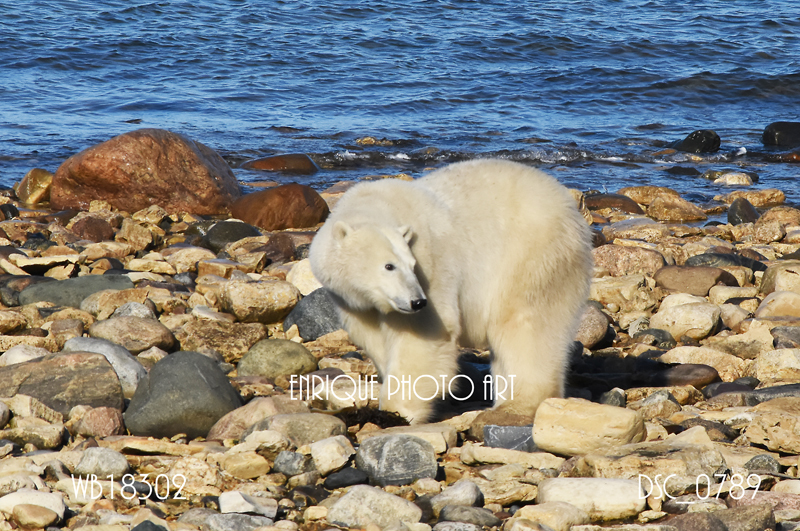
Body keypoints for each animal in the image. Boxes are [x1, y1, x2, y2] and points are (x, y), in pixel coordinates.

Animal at [306, 159, 592, 424]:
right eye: (389, 266)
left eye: (411, 265)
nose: (417, 302)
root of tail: (570, 210)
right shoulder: (353, 301)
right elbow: (373, 337)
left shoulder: (431, 262)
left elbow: (421, 337)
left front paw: (394, 413)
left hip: (532, 255)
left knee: (526, 325)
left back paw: (515, 406)